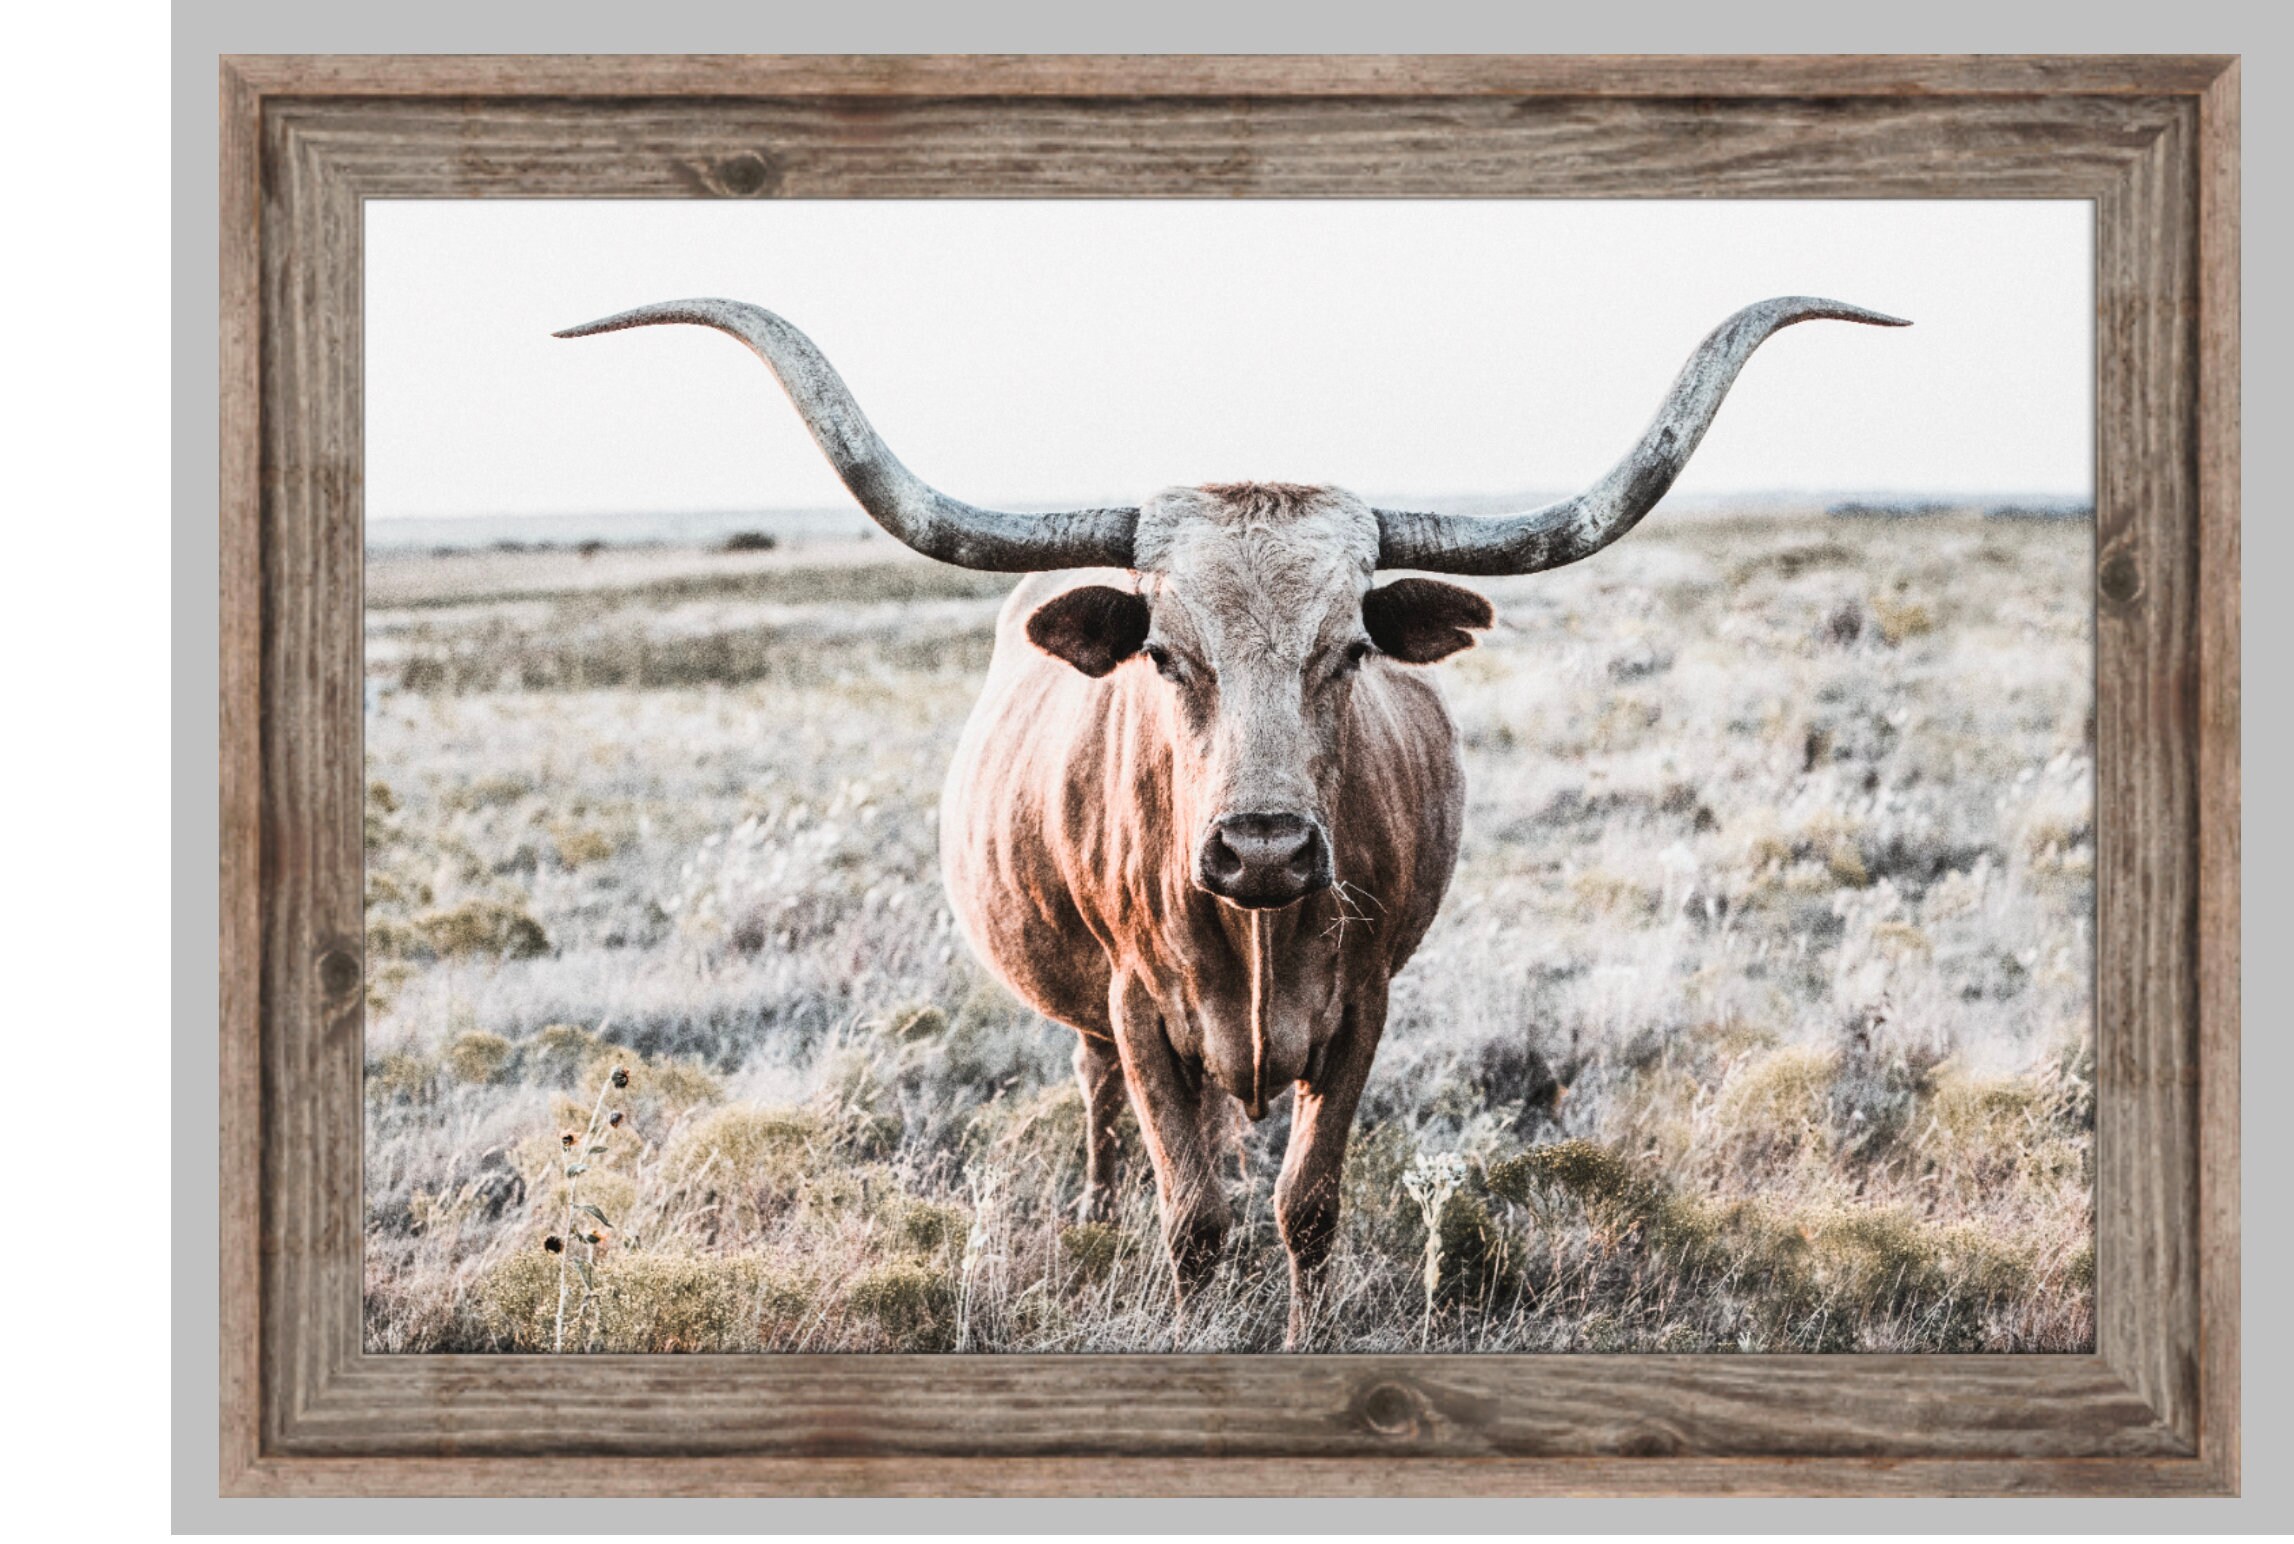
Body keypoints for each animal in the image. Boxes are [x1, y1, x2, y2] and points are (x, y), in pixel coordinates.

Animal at [558, 295, 1906, 1344]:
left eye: (1350, 646)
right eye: (1164, 650)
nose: (1262, 845)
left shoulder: (1362, 1005)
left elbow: (1304, 1201)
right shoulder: (1140, 1009)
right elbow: (1193, 1211)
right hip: (1094, 1015)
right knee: (1109, 1109)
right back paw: (1095, 1212)